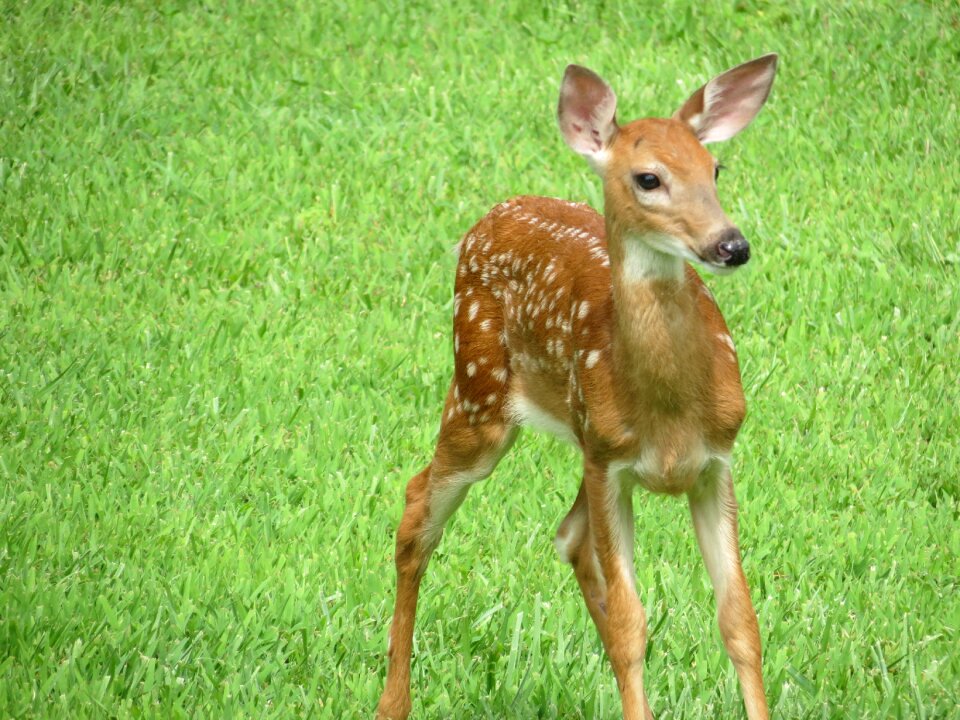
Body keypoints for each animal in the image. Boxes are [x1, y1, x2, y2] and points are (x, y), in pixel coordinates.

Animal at [376, 53, 780, 716]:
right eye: (649, 178)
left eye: (715, 168)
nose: (731, 244)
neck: (669, 413)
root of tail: (491, 214)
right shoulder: (611, 466)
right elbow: (631, 625)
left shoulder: (715, 460)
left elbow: (740, 621)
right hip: (479, 392)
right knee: (417, 508)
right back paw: (394, 702)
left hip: (572, 433)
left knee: (568, 537)